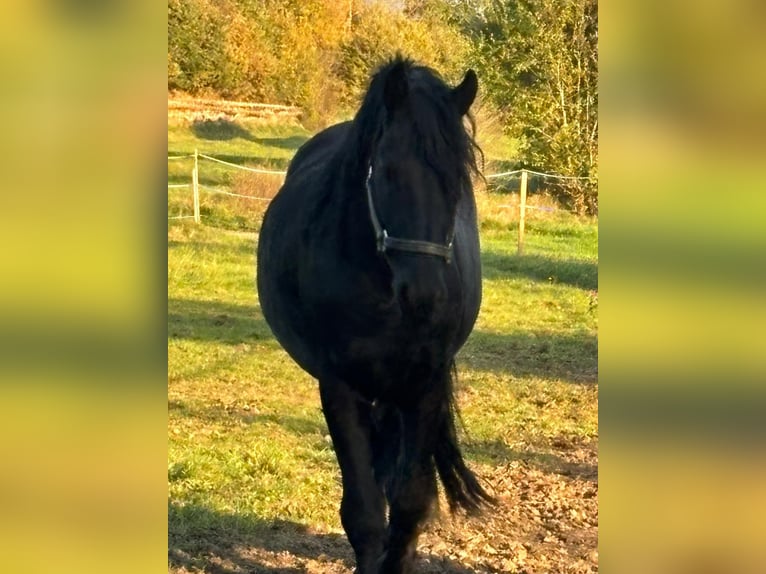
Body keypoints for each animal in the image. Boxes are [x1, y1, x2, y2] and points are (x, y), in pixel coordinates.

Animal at [256, 56, 493, 574]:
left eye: (458, 182)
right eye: (384, 171)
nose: (426, 296)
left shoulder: (424, 386)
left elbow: (411, 503)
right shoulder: (339, 387)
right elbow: (364, 512)